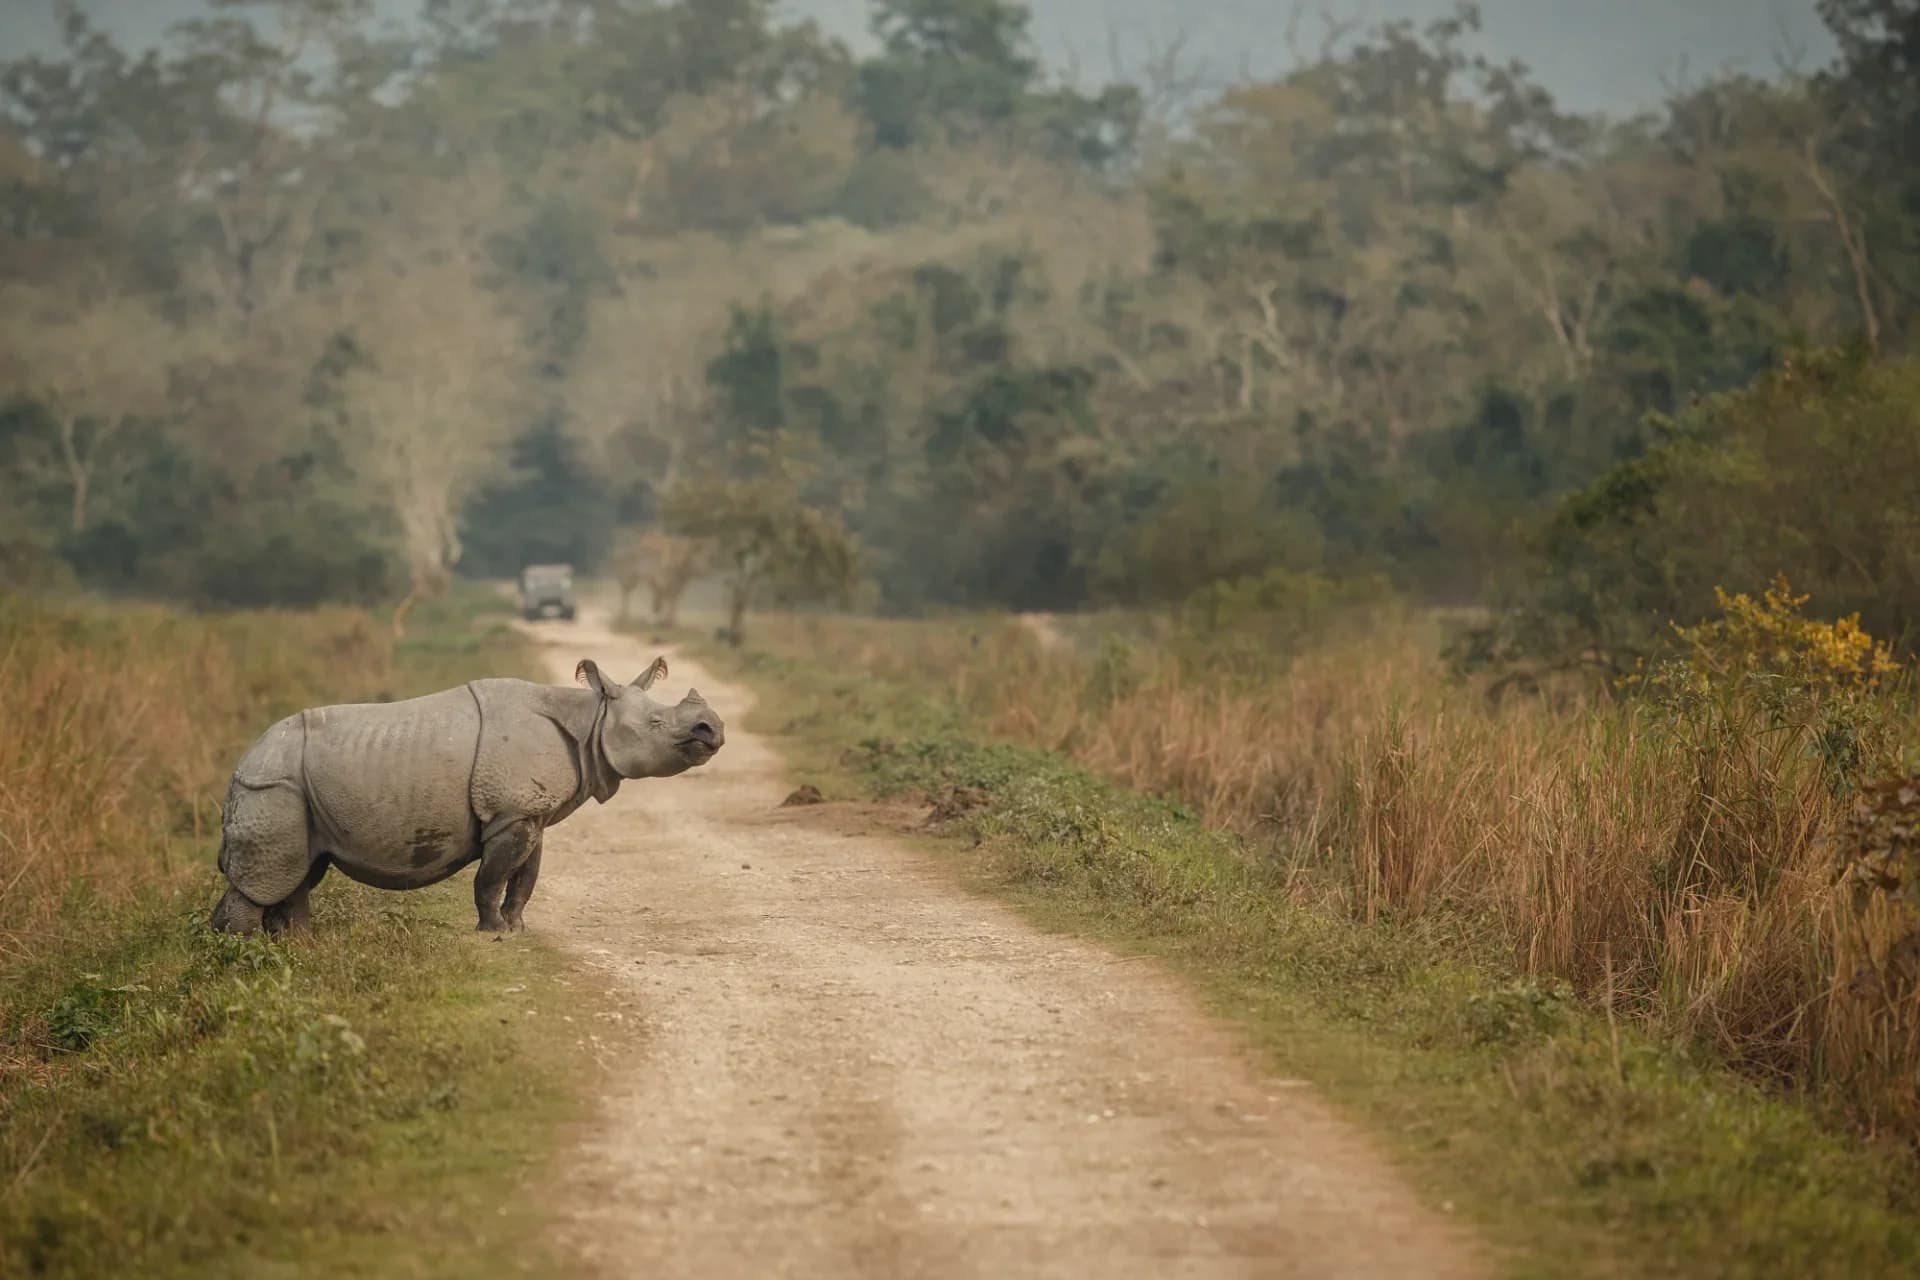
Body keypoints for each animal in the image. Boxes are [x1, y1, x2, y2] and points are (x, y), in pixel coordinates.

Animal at [210, 655, 723, 934]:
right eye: (657, 724)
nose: (712, 729)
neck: (589, 722)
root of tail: (241, 764)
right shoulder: (509, 814)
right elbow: (491, 879)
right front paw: (492, 931)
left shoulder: (528, 814)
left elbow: (526, 878)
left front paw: (517, 929)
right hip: (273, 786)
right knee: (270, 879)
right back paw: (241, 954)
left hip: (290, 789)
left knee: (299, 874)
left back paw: (296, 945)